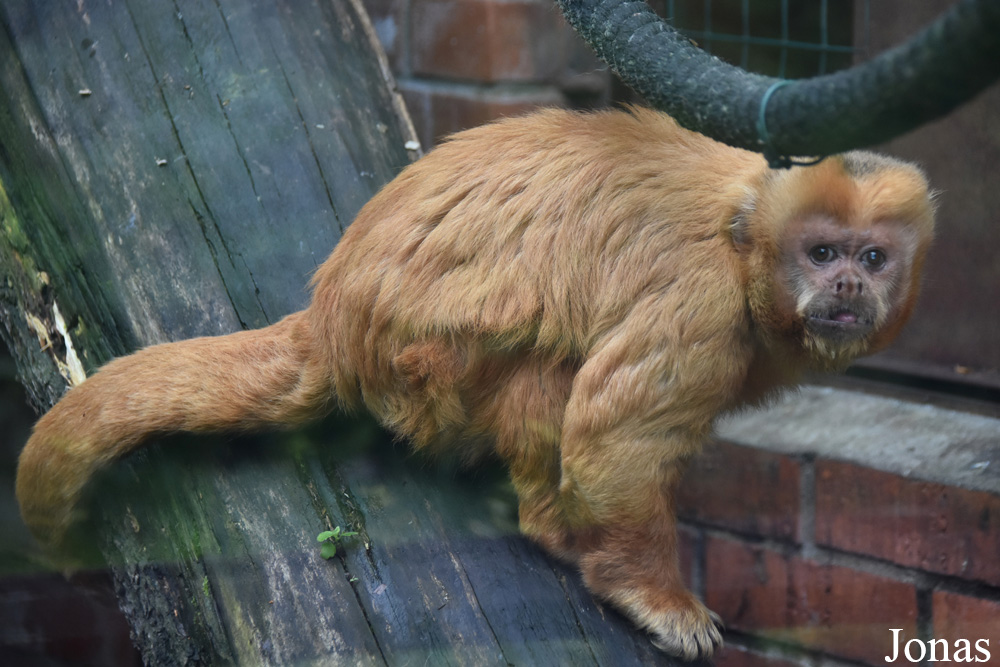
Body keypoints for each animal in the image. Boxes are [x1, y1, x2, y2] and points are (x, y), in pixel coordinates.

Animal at [17, 107, 936, 660]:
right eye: (821, 252)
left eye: (871, 257)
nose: (846, 285)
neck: (745, 247)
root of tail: (334, 312)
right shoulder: (703, 307)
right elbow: (615, 438)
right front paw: (650, 592)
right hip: (424, 365)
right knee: (548, 367)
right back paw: (551, 526)